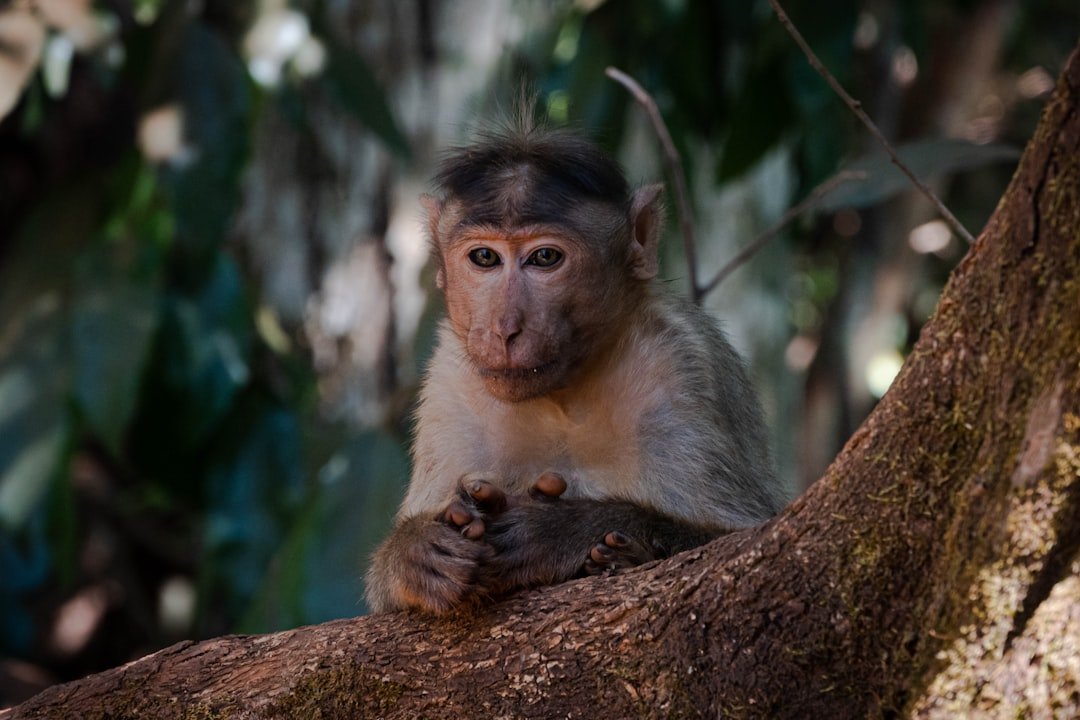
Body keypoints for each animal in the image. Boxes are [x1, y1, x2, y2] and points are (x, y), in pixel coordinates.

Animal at [364, 118, 789, 614]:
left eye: (545, 258)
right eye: (484, 257)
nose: (505, 329)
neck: (562, 395)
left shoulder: (685, 365)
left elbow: (741, 539)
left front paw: (557, 531)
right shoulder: (450, 383)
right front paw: (418, 552)